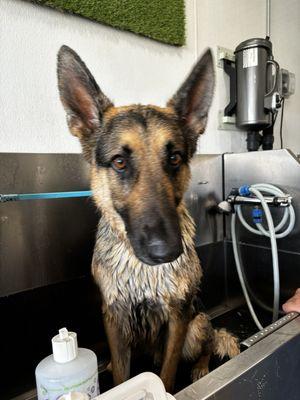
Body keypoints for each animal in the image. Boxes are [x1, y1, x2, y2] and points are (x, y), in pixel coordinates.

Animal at [56, 45, 239, 392]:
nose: (166, 251)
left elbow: (167, 373)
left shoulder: (178, 319)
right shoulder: (114, 317)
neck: (141, 271)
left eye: (175, 158)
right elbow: (120, 375)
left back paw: (201, 367)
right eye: (119, 162)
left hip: (196, 326)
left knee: (209, 341)